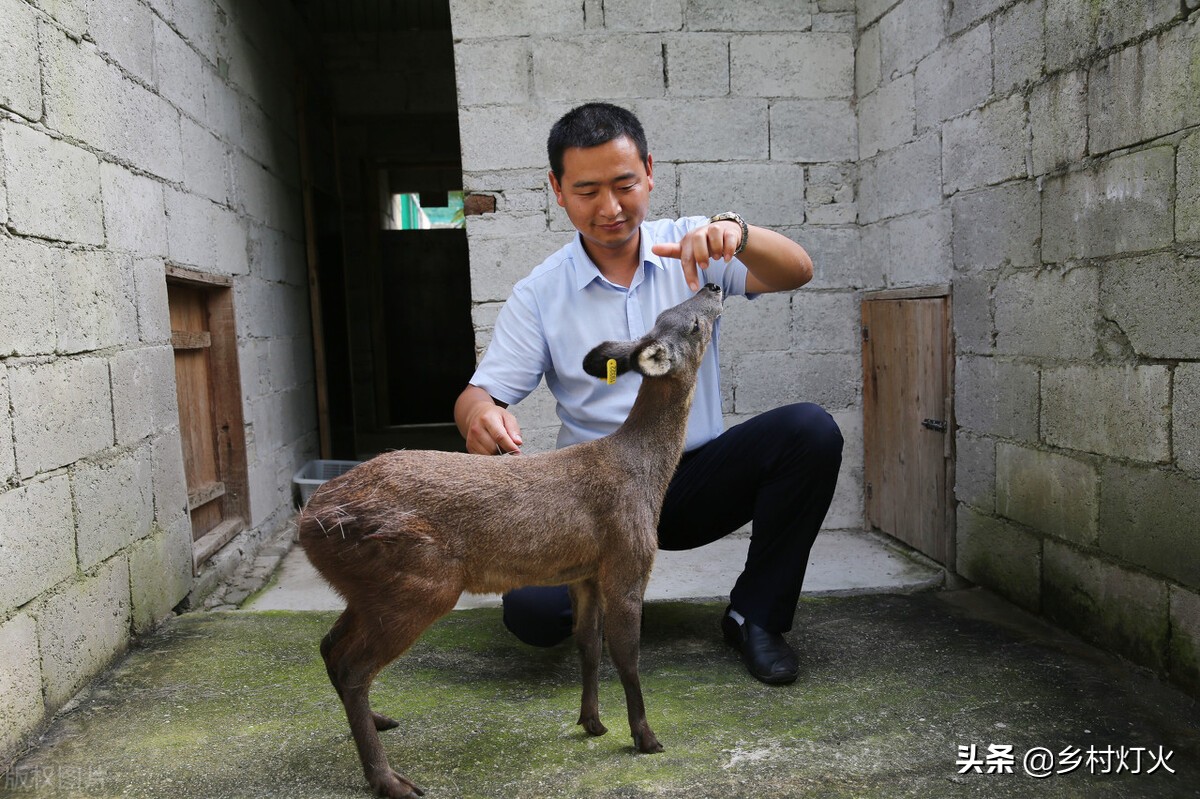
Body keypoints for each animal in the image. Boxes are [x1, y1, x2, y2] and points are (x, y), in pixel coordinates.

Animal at [298, 283, 724, 791]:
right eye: (692, 324)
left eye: (669, 311)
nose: (713, 285)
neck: (643, 474)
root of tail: (309, 520)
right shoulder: (628, 555)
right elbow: (627, 654)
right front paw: (645, 737)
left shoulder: (583, 572)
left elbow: (587, 644)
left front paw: (592, 722)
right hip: (419, 584)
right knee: (352, 666)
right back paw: (389, 780)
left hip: (369, 590)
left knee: (330, 645)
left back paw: (377, 723)